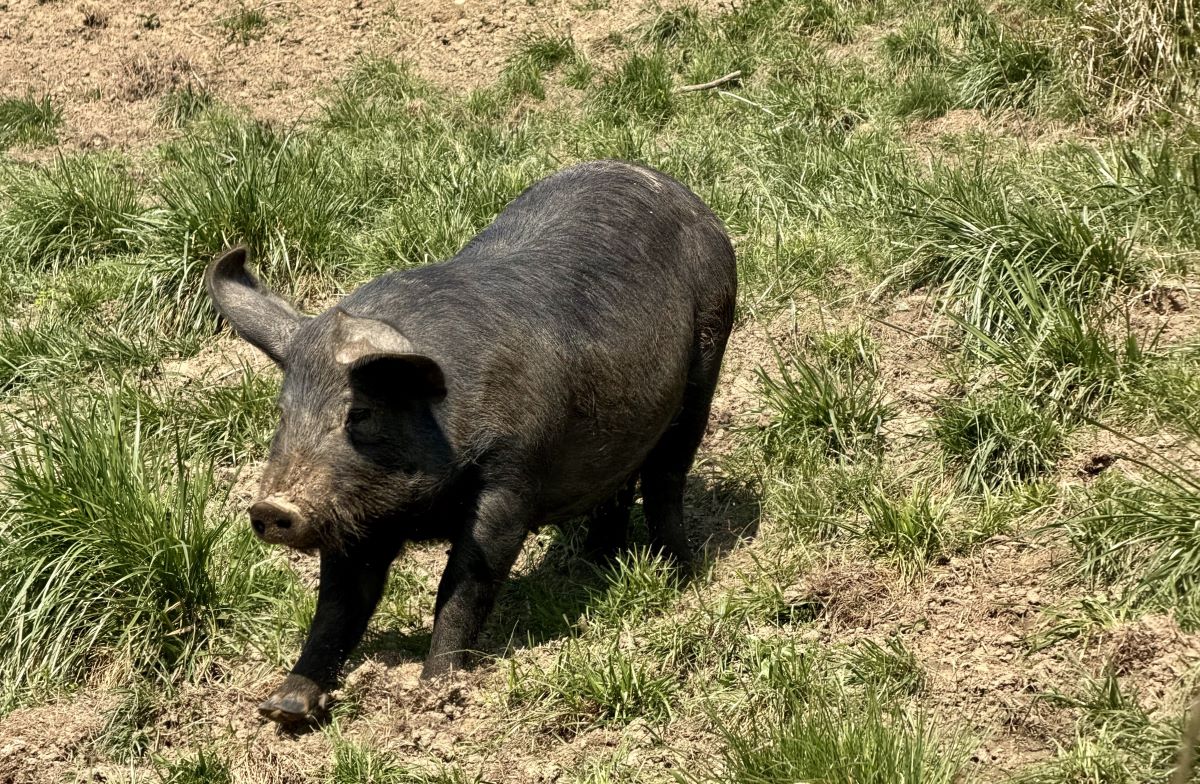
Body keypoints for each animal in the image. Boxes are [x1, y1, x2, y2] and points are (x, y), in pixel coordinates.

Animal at [205, 159, 736, 724]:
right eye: (283, 412)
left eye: (359, 414)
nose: (270, 506)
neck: (420, 510)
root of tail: (679, 190)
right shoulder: (357, 517)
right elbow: (339, 602)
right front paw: (283, 708)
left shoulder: (512, 476)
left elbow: (465, 581)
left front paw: (436, 690)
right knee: (617, 488)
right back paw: (592, 566)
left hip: (708, 352)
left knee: (667, 477)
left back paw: (681, 576)